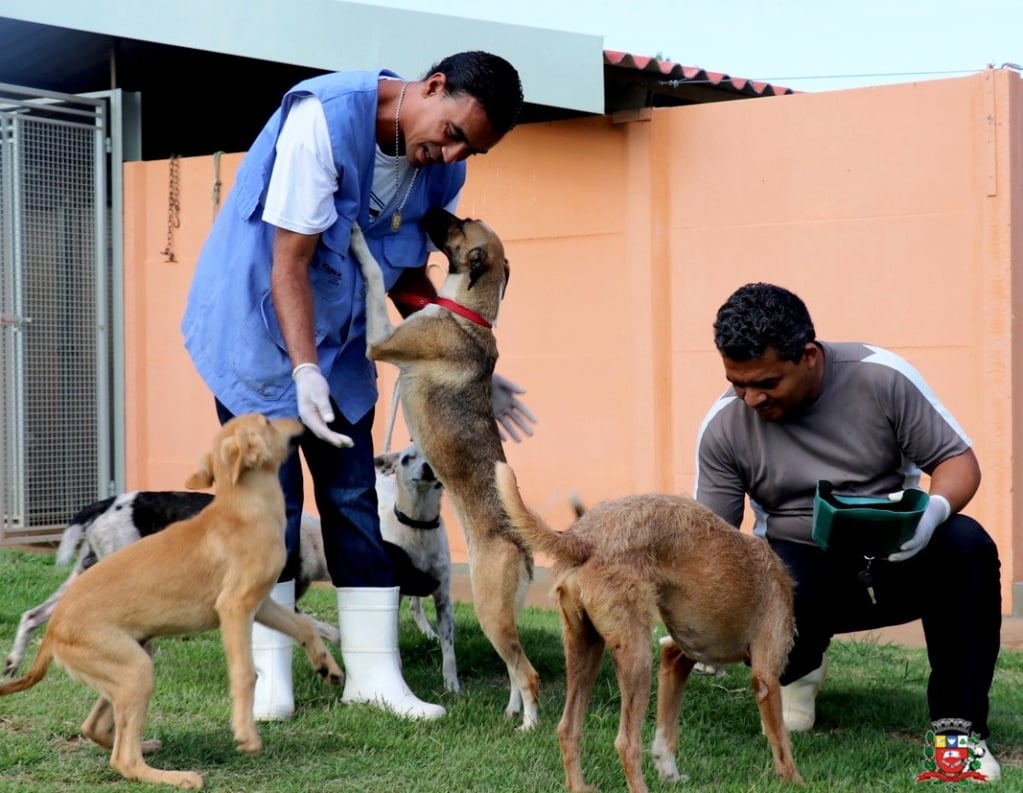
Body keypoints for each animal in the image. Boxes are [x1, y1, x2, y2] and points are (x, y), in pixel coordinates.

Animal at [0, 415, 343, 785]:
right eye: (266, 420)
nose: (299, 419)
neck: (244, 509)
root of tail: (54, 631)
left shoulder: (262, 603)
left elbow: (304, 627)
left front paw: (328, 667)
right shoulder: (234, 608)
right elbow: (245, 673)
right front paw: (246, 734)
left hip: (130, 657)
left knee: (95, 726)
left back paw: (146, 745)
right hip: (135, 670)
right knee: (123, 759)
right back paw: (174, 777)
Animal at [351, 210, 540, 732]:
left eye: (462, 223)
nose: (428, 211)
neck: (467, 314)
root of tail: (521, 545)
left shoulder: (380, 343)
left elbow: (374, 276)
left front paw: (358, 241)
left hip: (490, 610)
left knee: (528, 674)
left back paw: (530, 727)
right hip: (502, 616)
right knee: (514, 672)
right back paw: (512, 712)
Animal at [497, 462, 806, 789]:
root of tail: (583, 538)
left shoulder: (675, 658)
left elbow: (666, 732)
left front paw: (669, 772)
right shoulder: (766, 676)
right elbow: (781, 740)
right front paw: (796, 780)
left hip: (585, 648)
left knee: (568, 729)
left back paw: (579, 787)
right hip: (637, 660)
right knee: (626, 743)